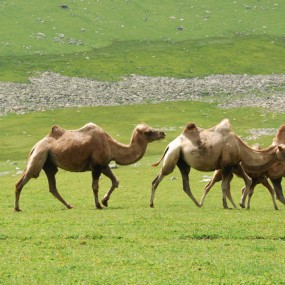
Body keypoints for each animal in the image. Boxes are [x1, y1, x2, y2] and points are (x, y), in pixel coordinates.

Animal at [15, 121, 165, 210]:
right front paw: (98, 204)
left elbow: (115, 181)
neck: (111, 145)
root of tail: (34, 147)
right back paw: (17, 208)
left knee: (52, 186)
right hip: (39, 156)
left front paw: (105, 201)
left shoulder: (104, 164)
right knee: (23, 180)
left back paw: (69, 205)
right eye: (148, 132)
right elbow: (95, 186)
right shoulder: (96, 165)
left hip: (49, 164)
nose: (162, 133)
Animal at [149, 118, 284, 209]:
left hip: (182, 162)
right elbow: (224, 186)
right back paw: (151, 203)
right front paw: (226, 205)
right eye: (284, 150)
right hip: (173, 154)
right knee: (159, 178)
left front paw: (241, 204)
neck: (241, 148)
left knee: (185, 184)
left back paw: (198, 204)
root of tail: (169, 144)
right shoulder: (226, 166)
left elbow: (248, 180)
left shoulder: (236, 164)